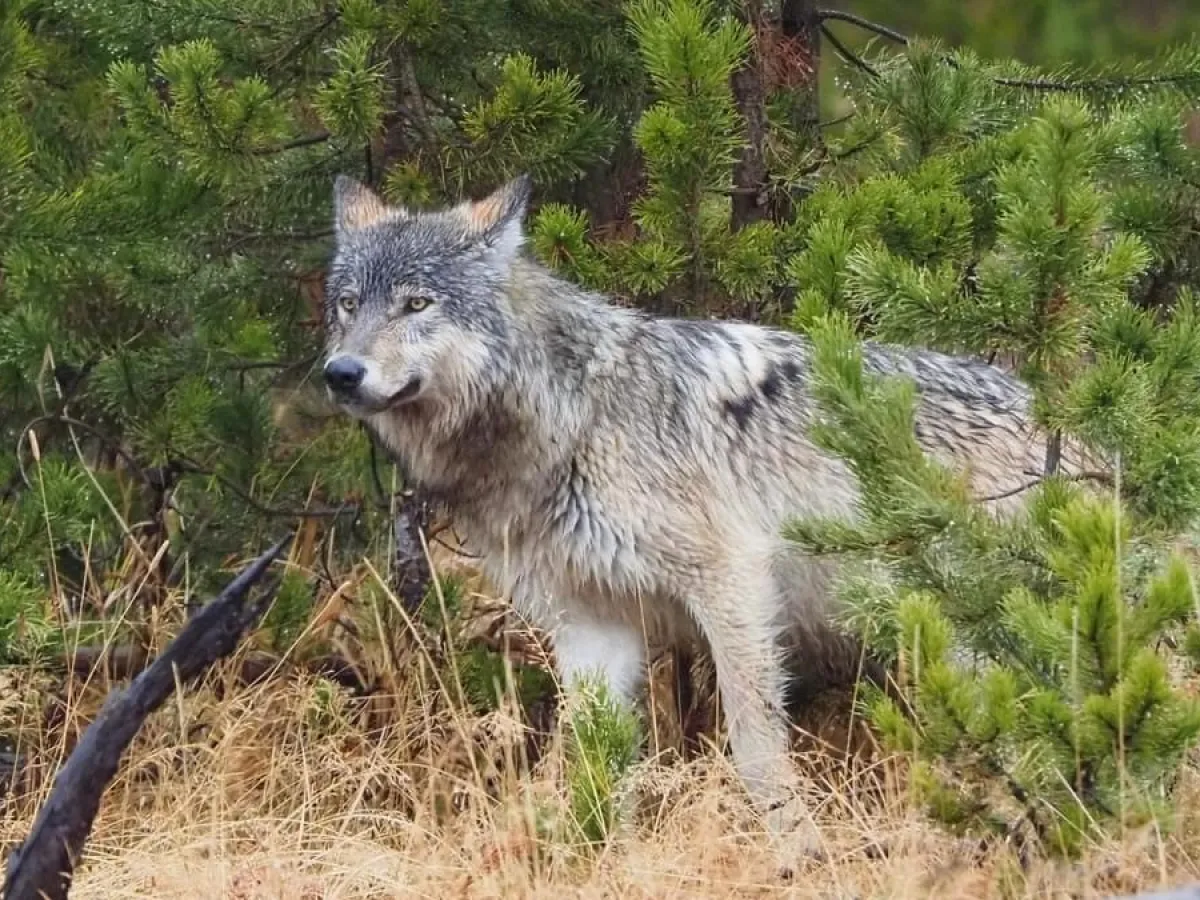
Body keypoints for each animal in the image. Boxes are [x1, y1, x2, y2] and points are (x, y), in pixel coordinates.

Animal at [319, 173, 1078, 863]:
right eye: (349, 305)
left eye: (417, 303)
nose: (340, 373)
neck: (569, 417)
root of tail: (1066, 426)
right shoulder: (591, 623)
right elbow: (589, 758)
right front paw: (588, 857)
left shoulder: (733, 582)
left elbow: (753, 743)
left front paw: (800, 853)